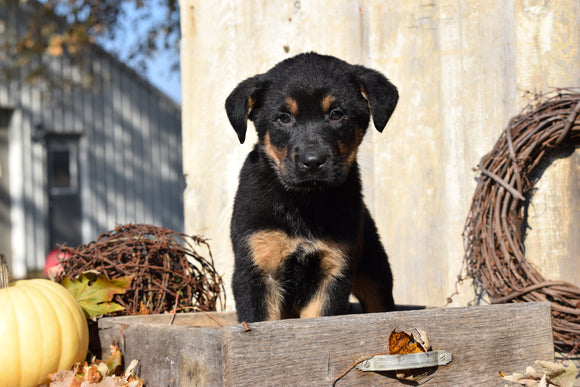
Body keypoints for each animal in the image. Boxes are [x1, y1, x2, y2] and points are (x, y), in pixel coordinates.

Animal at [227, 52, 398, 324]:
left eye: (337, 114)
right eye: (284, 117)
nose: (312, 161)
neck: (306, 200)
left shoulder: (333, 270)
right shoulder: (257, 269)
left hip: (375, 272)